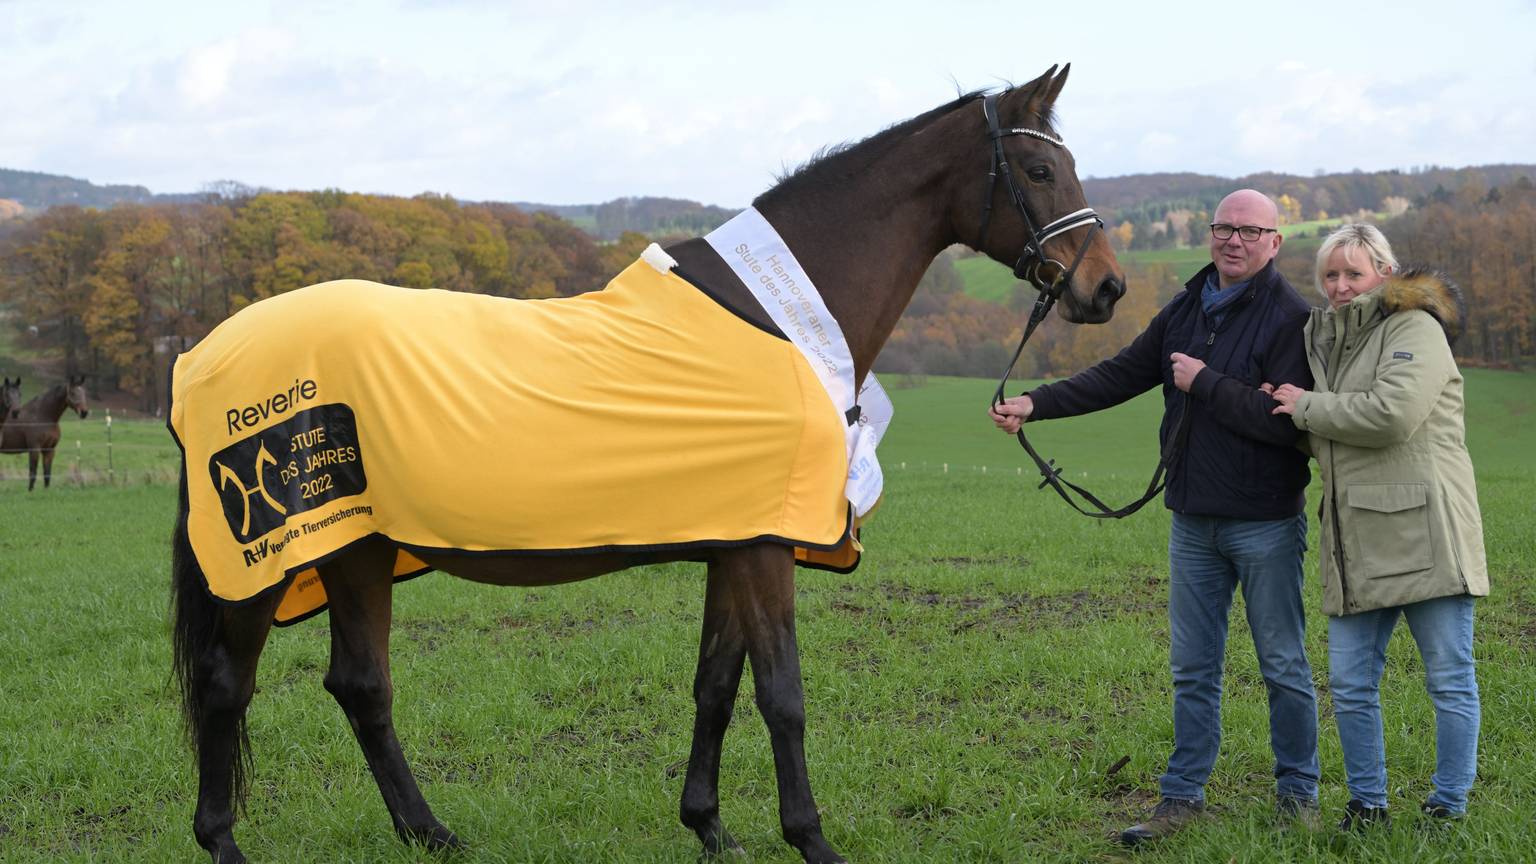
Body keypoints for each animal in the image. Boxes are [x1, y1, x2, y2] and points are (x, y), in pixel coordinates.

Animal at [170, 65, 1125, 864]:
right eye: (1039, 171)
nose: (1106, 290)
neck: (775, 318)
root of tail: (205, 352)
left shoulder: (737, 543)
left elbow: (717, 686)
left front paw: (710, 828)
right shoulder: (765, 551)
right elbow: (782, 694)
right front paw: (811, 840)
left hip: (357, 551)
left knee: (361, 685)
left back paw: (429, 833)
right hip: (268, 564)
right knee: (226, 684)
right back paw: (224, 843)